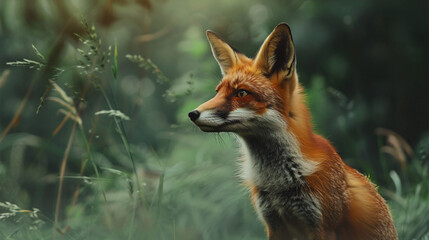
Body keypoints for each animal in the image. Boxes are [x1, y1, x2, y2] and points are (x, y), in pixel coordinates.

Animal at [189, 23, 396, 240]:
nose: (192, 114)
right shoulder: (273, 223)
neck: (277, 184)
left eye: (241, 93)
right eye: (218, 92)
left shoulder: (322, 227)